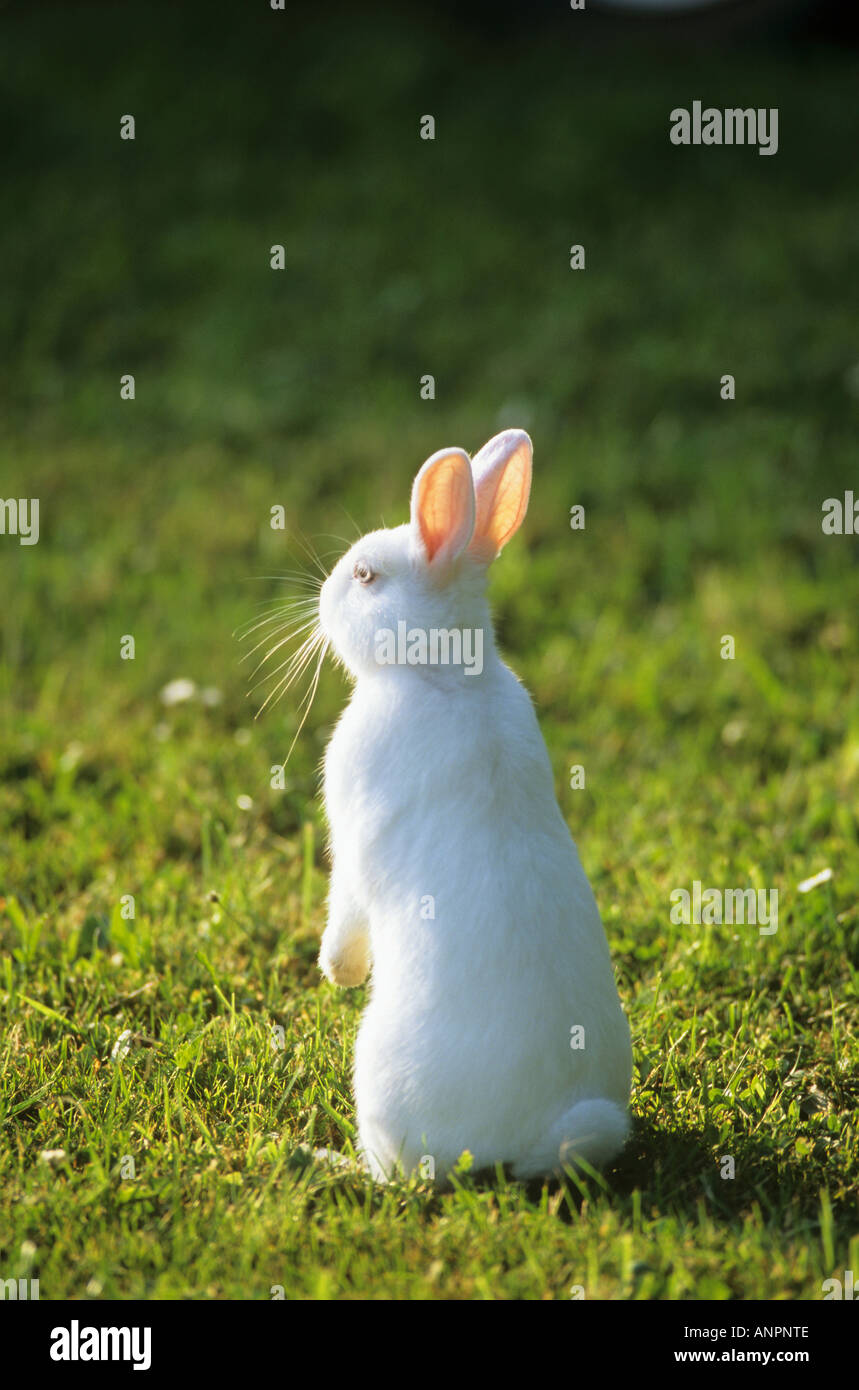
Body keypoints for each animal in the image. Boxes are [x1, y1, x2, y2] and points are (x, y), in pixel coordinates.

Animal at [316, 429, 632, 1183]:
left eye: (365, 576)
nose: (320, 600)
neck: (443, 675)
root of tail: (528, 1140)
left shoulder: (353, 838)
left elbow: (345, 907)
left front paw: (338, 972)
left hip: (377, 1080)